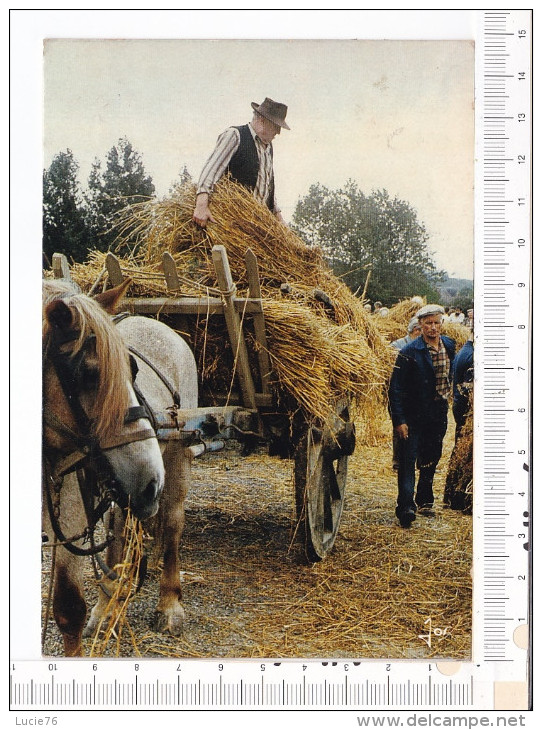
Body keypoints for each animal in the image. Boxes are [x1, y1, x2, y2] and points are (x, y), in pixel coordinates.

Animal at [42, 278, 199, 656]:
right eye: (88, 374)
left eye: (134, 370)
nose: (150, 482)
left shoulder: (68, 514)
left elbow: (68, 609)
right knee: (119, 527)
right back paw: (109, 605)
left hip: (176, 457)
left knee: (172, 523)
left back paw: (169, 604)